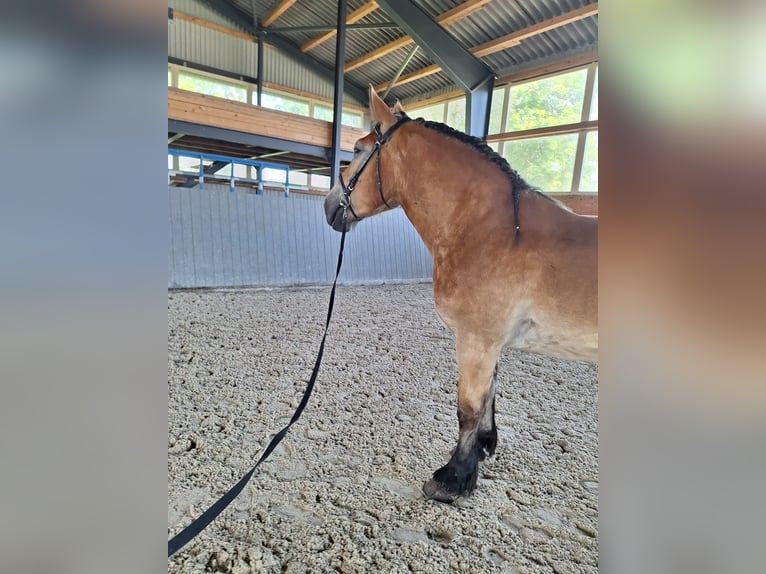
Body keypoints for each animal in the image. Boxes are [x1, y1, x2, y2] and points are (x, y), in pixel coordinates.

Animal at [324, 86, 600, 504]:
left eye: (356, 150)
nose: (328, 206)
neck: (496, 231)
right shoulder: (490, 342)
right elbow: (489, 395)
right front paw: (483, 448)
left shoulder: (476, 338)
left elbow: (468, 406)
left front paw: (452, 478)